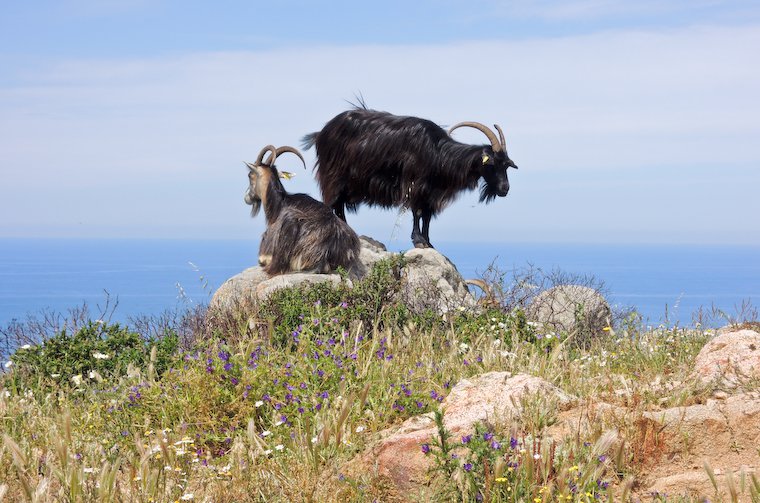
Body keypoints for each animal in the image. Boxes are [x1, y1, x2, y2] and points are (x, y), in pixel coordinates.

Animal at [302, 107, 516, 249]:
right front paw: (418, 240)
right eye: (492, 164)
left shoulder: (431, 191)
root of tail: (321, 133)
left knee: (339, 204)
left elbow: (427, 216)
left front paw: (429, 242)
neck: (438, 154)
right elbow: (417, 211)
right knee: (333, 202)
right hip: (335, 175)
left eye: (507, 165)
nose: (505, 189)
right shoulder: (416, 183)